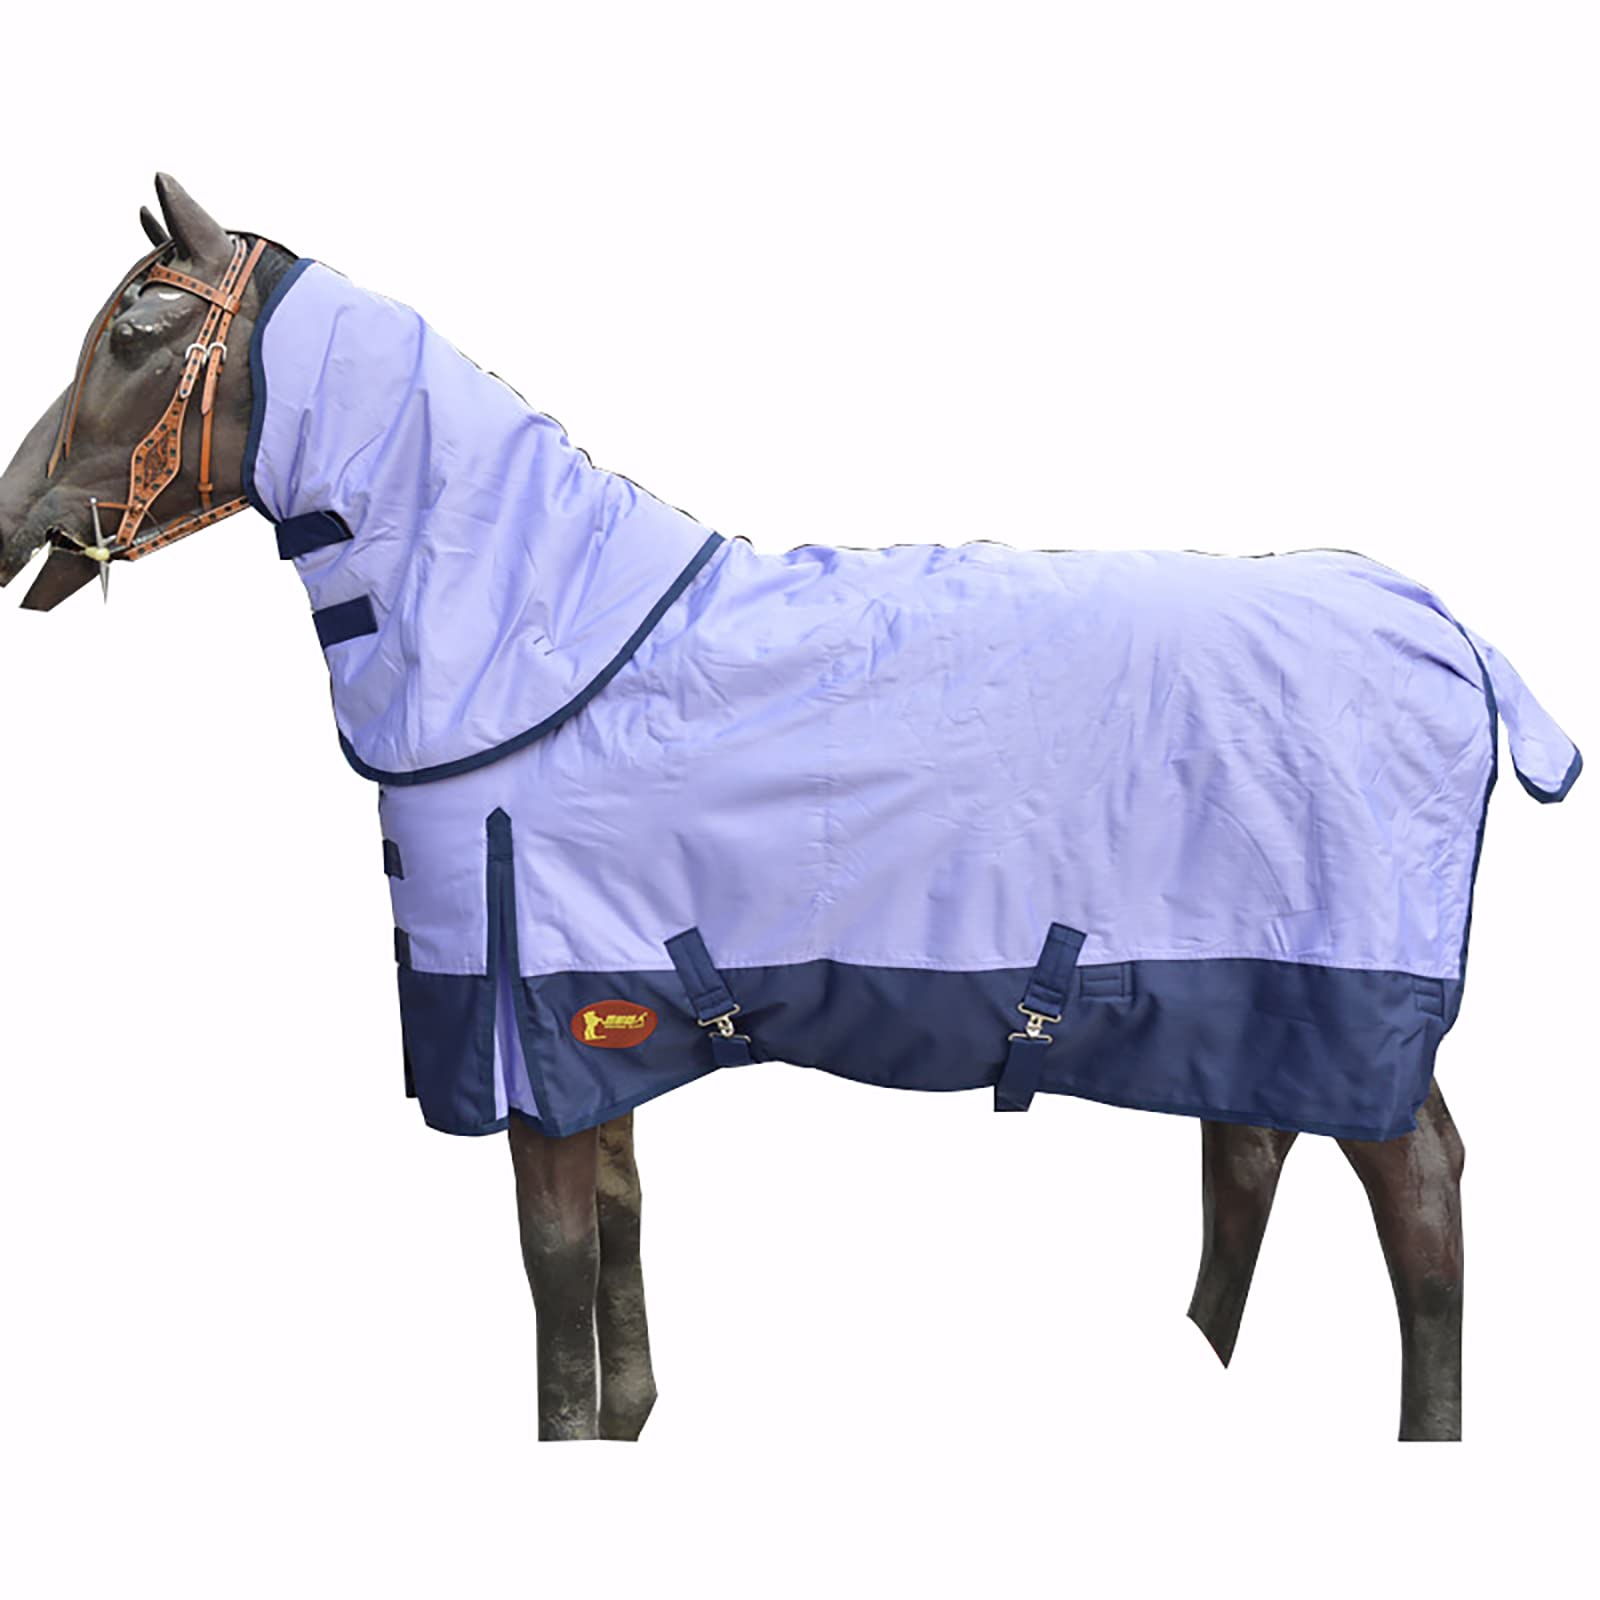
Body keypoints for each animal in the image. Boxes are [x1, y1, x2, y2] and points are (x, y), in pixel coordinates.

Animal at [0, 175, 1580, 1443]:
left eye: (138, 332)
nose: (14, 516)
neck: (539, 634)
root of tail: (1442, 623)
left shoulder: (522, 1022)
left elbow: (553, 1263)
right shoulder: (594, 1018)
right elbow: (619, 1226)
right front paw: (633, 1420)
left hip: (1351, 997)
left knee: (1419, 1196)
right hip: (1260, 998)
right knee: (1252, 1149)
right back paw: (1204, 1367)